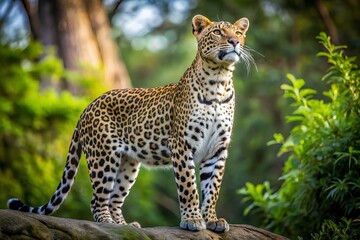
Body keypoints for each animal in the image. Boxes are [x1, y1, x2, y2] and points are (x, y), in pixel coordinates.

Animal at [7, 14, 250, 232]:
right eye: (218, 32)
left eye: (238, 33)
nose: (234, 42)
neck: (219, 81)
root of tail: (87, 106)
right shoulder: (182, 144)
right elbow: (188, 185)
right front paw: (192, 220)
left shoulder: (217, 148)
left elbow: (213, 187)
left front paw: (212, 220)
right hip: (103, 157)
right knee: (98, 200)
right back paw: (108, 224)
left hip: (128, 164)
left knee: (114, 198)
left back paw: (125, 226)